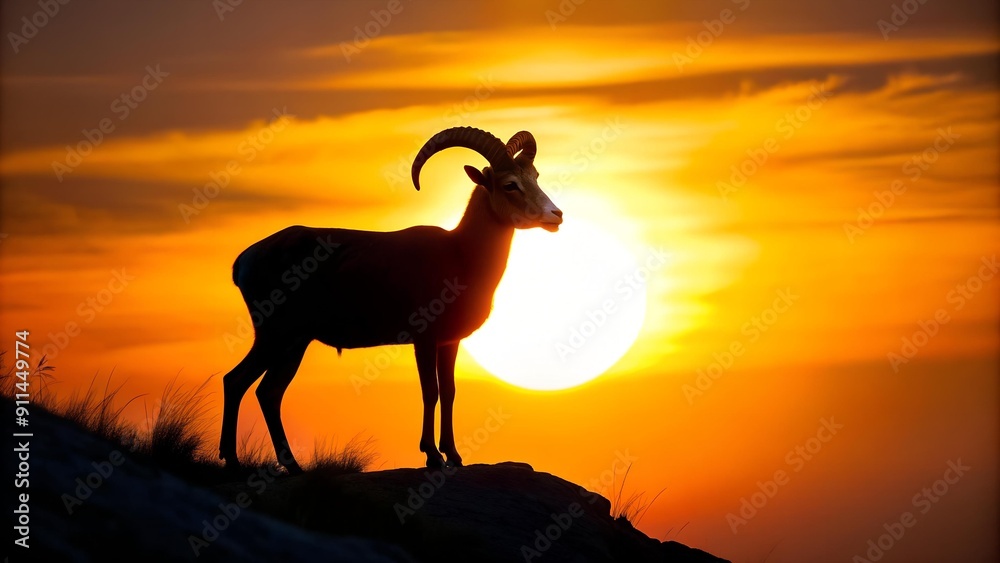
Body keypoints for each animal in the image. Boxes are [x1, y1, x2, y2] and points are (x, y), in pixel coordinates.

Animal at [219, 127, 563, 473]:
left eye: (535, 176)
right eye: (510, 184)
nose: (555, 215)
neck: (460, 255)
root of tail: (244, 260)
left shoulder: (449, 342)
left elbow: (449, 391)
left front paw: (454, 456)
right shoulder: (424, 339)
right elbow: (430, 391)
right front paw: (432, 456)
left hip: (294, 344)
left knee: (268, 392)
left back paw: (291, 467)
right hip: (274, 336)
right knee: (236, 380)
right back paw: (233, 461)